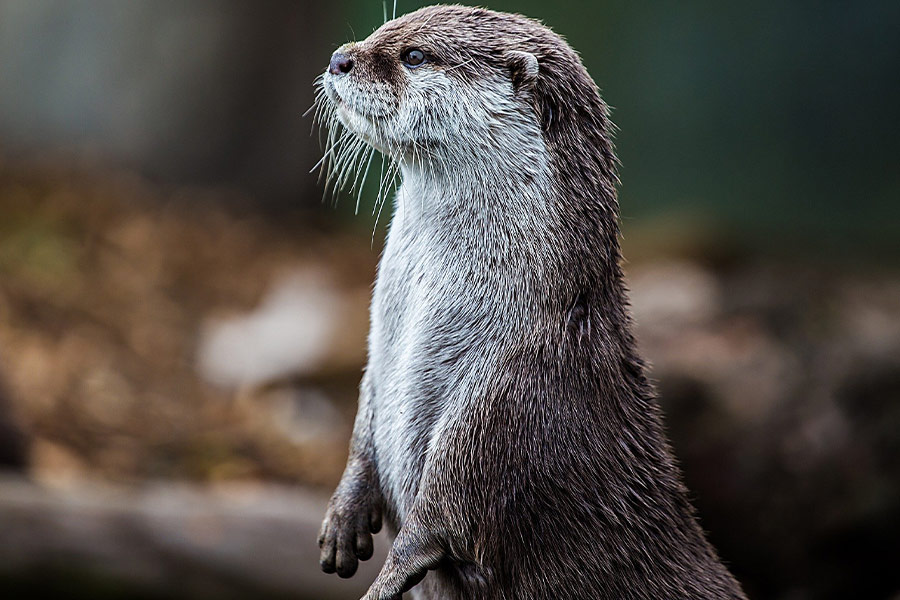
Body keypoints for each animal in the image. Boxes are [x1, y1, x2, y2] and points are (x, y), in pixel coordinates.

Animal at [314, 5, 747, 600]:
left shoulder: (506, 390)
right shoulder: (379, 352)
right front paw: (343, 518)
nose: (339, 57)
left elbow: (440, 516)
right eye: (386, 29)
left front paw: (386, 580)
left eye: (415, 55)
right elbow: (364, 421)